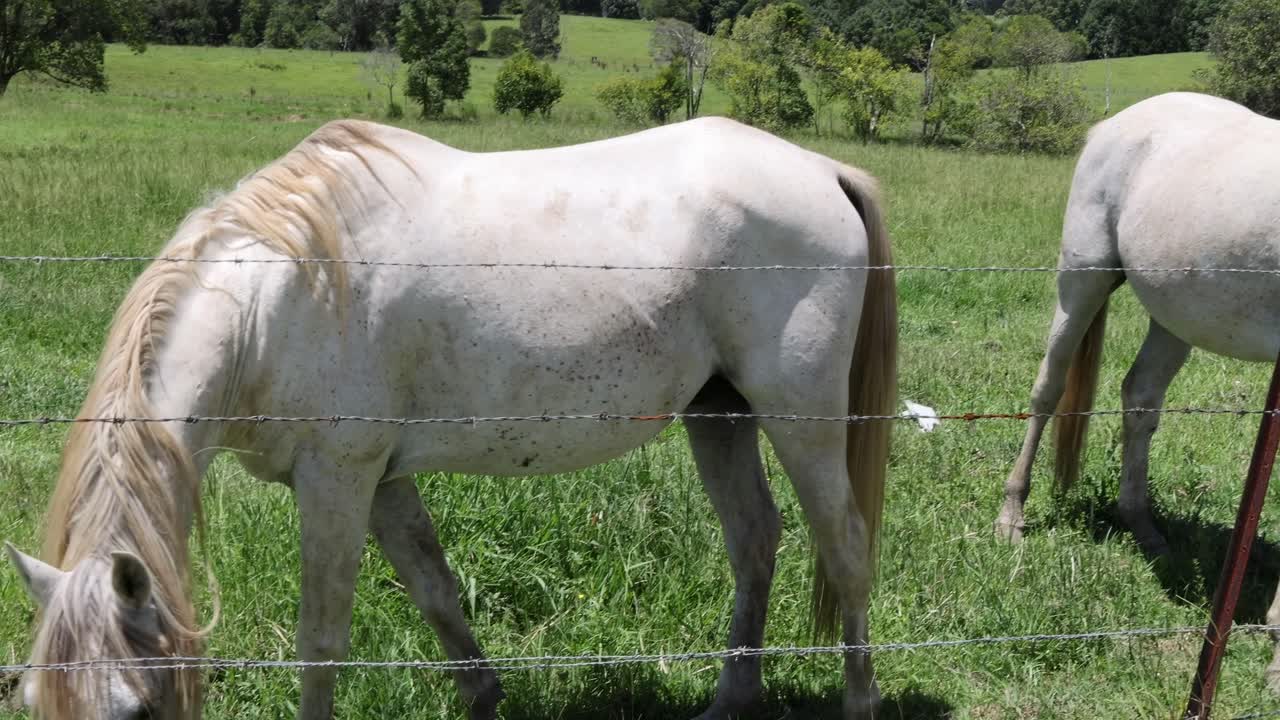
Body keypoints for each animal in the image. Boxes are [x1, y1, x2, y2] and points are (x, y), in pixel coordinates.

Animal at [5, 116, 898, 720]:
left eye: (135, 709)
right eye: (38, 702)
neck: (276, 299)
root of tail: (824, 170)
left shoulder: (336, 481)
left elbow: (322, 640)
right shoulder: (382, 482)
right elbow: (436, 591)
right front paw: (483, 694)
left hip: (802, 418)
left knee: (846, 546)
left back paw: (859, 696)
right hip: (718, 414)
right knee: (755, 538)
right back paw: (730, 697)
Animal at [993, 91, 1280, 685]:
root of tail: (1113, 122)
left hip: (1173, 312)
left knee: (1140, 398)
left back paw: (1141, 525)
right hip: (1083, 278)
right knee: (1048, 389)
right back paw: (1011, 517)